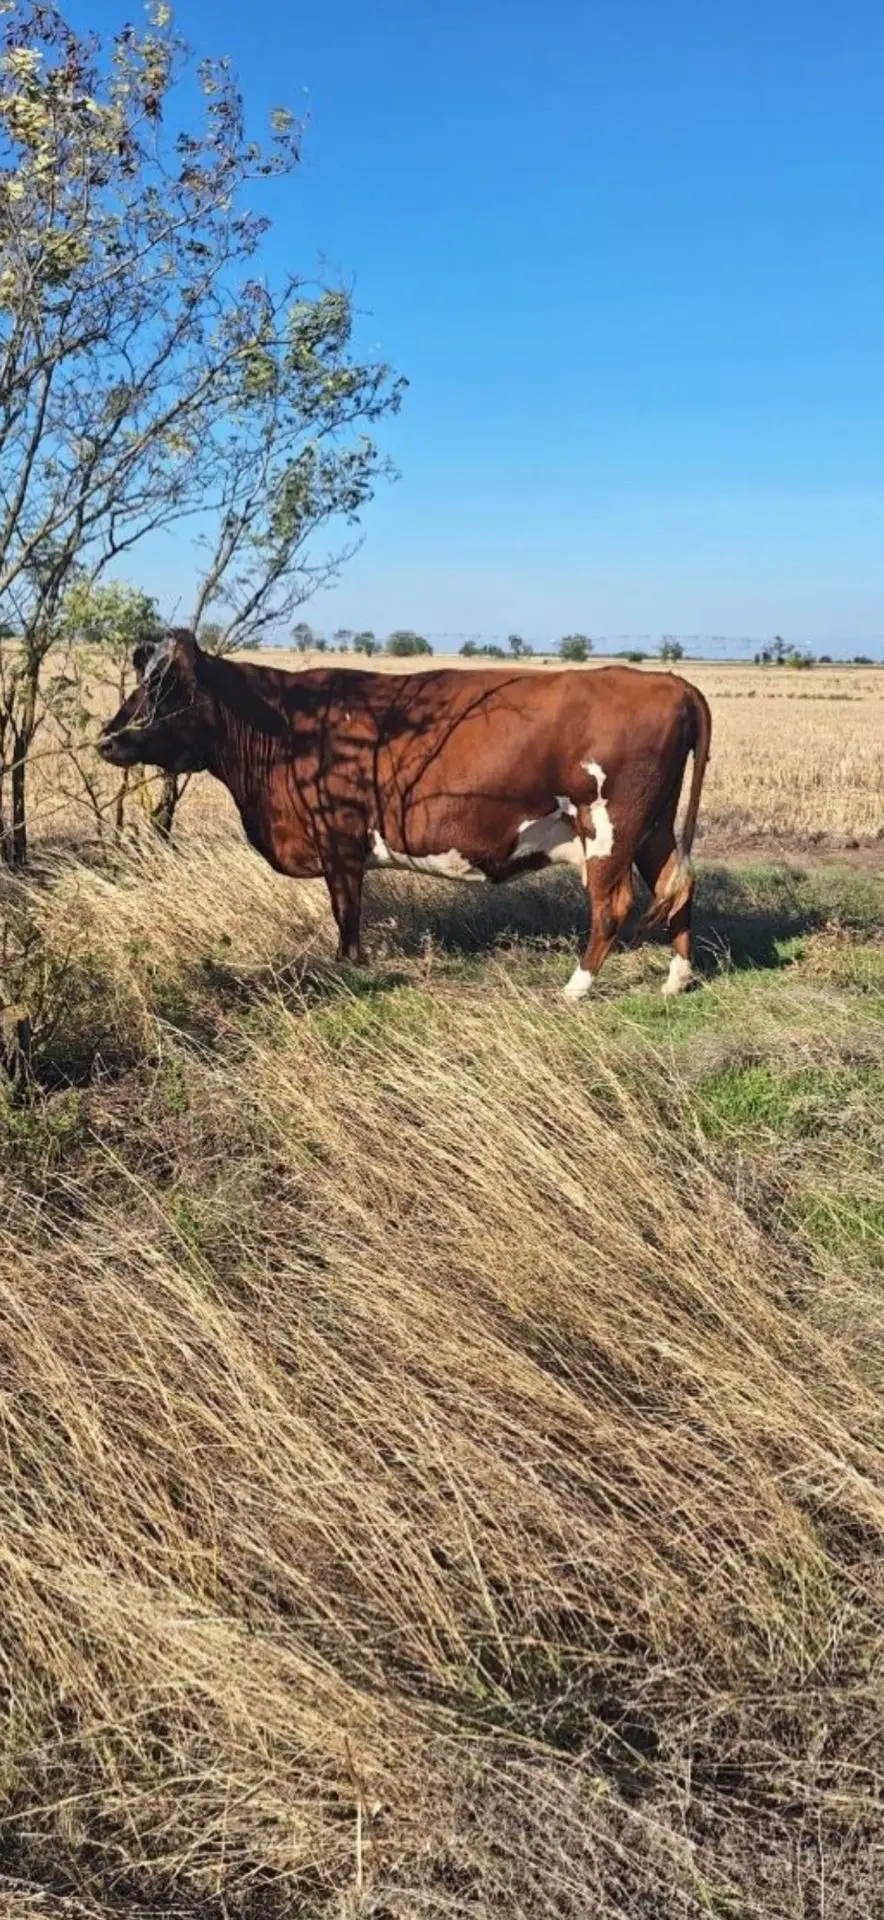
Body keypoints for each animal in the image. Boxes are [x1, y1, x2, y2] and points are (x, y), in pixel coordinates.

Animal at [98, 630, 712, 999]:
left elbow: (346, 914)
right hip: (654, 826)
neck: (284, 723)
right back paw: (677, 979)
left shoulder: (338, 840)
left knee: (613, 904)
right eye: (143, 682)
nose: (108, 739)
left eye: (170, 689)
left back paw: (575, 988)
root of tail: (671, 682)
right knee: (678, 886)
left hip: (609, 826)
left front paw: (348, 969)